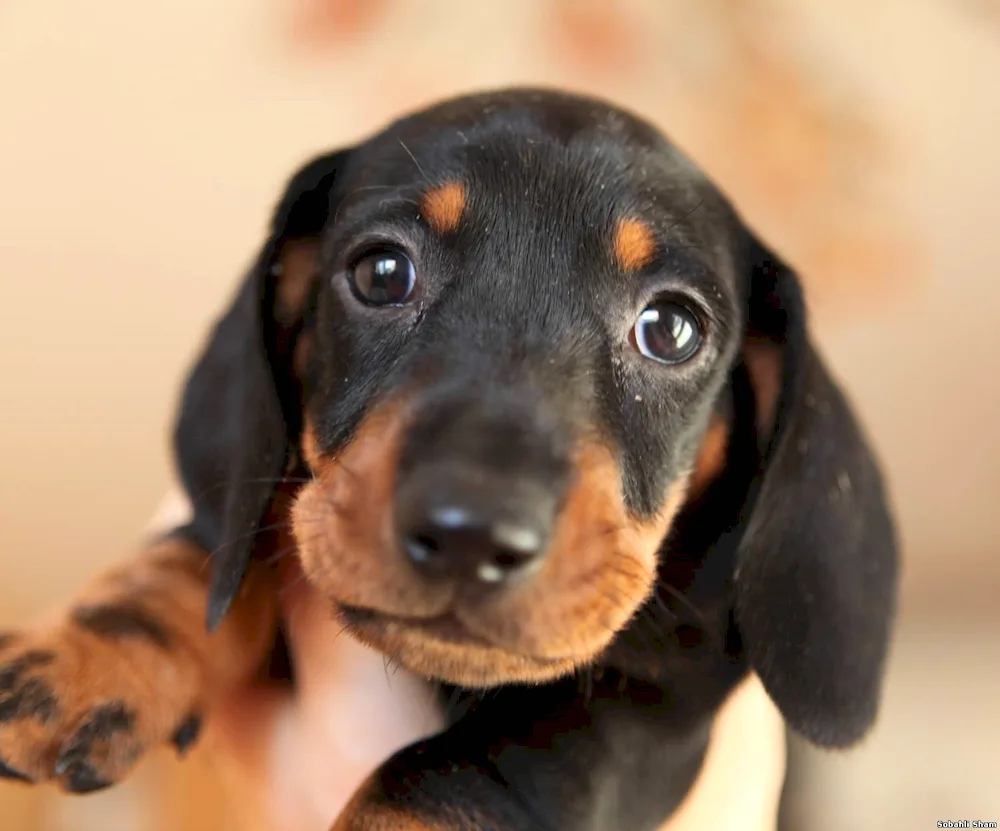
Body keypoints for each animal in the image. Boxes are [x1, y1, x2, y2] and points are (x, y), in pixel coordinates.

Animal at [0, 88, 900, 828]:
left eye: (672, 327)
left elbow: (449, 776)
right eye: (381, 272)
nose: (473, 535)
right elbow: (212, 549)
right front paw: (85, 655)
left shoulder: (655, 701)